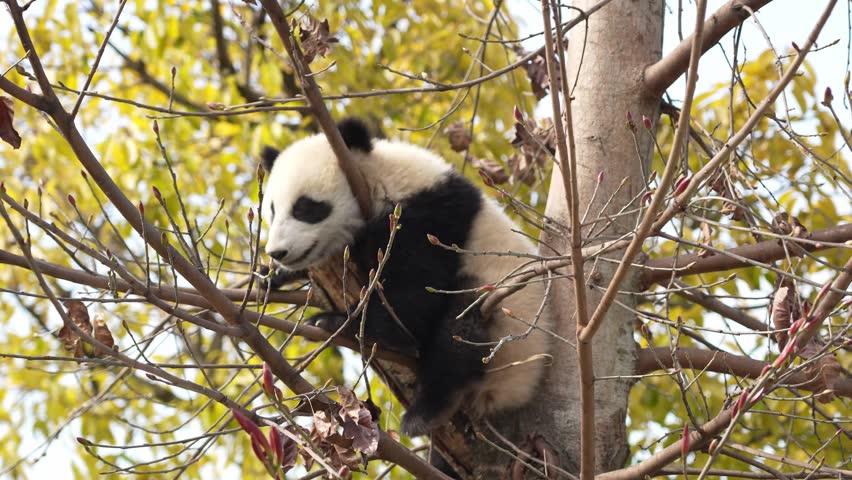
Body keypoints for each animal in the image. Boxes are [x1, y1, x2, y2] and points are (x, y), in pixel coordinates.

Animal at [260, 118, 552, 435]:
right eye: (272, 210)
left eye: (304, 207)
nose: (278, 252)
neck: (378, 178)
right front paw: (274, 275)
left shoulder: (428, 218)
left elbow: (414, 296)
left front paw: (336, 321)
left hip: (505, 320)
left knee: (461, 331)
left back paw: (424, 413)